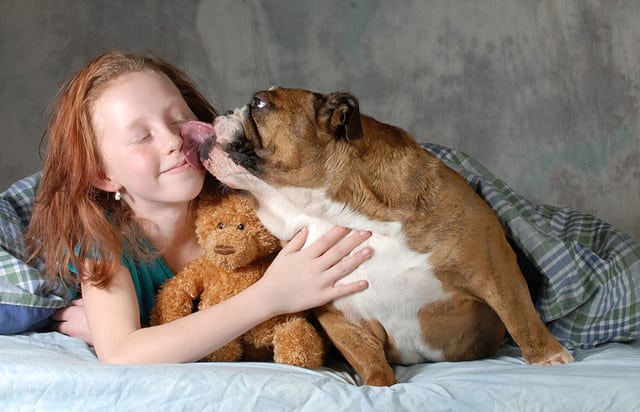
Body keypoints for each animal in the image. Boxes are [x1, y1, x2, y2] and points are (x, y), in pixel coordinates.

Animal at [181, 87, 576, 386]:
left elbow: (519, 314)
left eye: (260, 103)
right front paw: (379, 386)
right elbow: (367, 359)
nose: (222, 111)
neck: (331, 212)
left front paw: (548, 357)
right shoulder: (341, 316)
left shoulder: (491, 264)